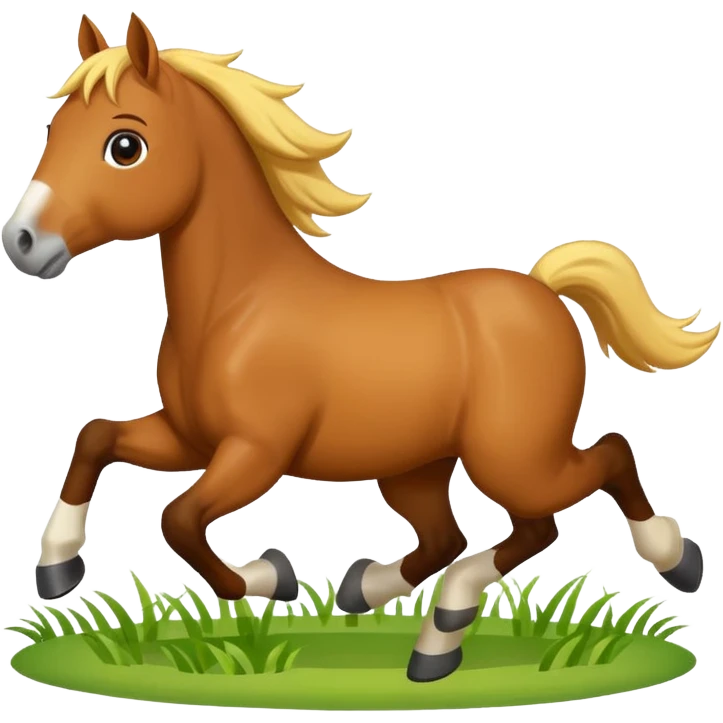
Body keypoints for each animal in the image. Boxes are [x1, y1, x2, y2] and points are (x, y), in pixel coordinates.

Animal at [2, 13, 717, 684]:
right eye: (54, 129)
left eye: (124, 145)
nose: (23, 242)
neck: (237, 307)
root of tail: (542, 288)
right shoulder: (188, 437)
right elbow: (96, 438)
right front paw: (57, 568)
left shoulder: (255, 452)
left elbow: (179, 520)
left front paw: (272, 576)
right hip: (416, 468)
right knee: (455, 537)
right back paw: (383, 603)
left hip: (513, 456)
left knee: (592, 473)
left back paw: (668, 561)